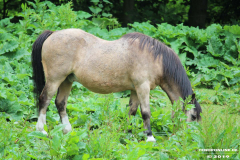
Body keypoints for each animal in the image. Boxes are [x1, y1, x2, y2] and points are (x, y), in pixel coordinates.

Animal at [31, 28, 202, 141]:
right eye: (193, 116)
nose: (191, 138)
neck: (155, 59)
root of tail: (53, 34)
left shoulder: (135, 89)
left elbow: (132, 112)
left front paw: (127, 134)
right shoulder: (143, 87)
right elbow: (145, 112)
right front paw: (149, 138)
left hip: (67, 80)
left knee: (60, 103)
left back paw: (67, 130)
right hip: (55, 80)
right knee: (44, 100)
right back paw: (41, 131)